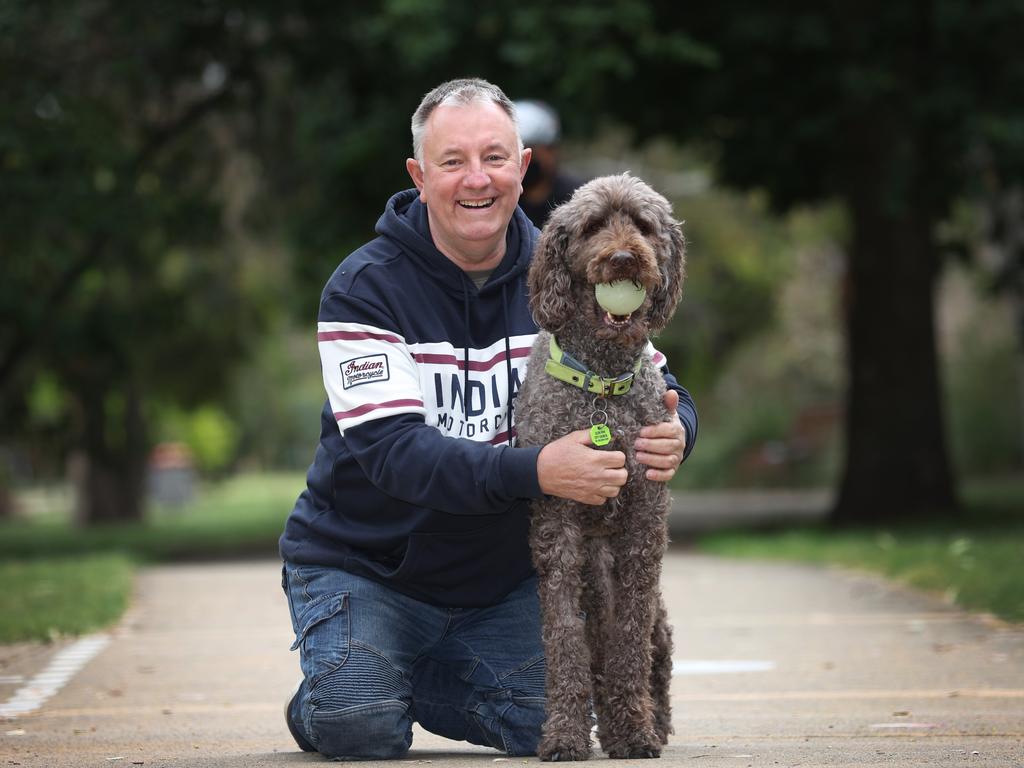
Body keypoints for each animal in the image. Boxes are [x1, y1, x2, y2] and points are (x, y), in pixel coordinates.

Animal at [516, 176, 684, 765]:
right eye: (591, 227)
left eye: (643, 225)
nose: (623, 258)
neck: (602, 388)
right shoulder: (557, 527)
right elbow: (564, 641)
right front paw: (564, 734)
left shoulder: (643, 526)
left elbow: (630, 643)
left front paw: (632, 731)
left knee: (655, 650)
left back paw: (652, 722)